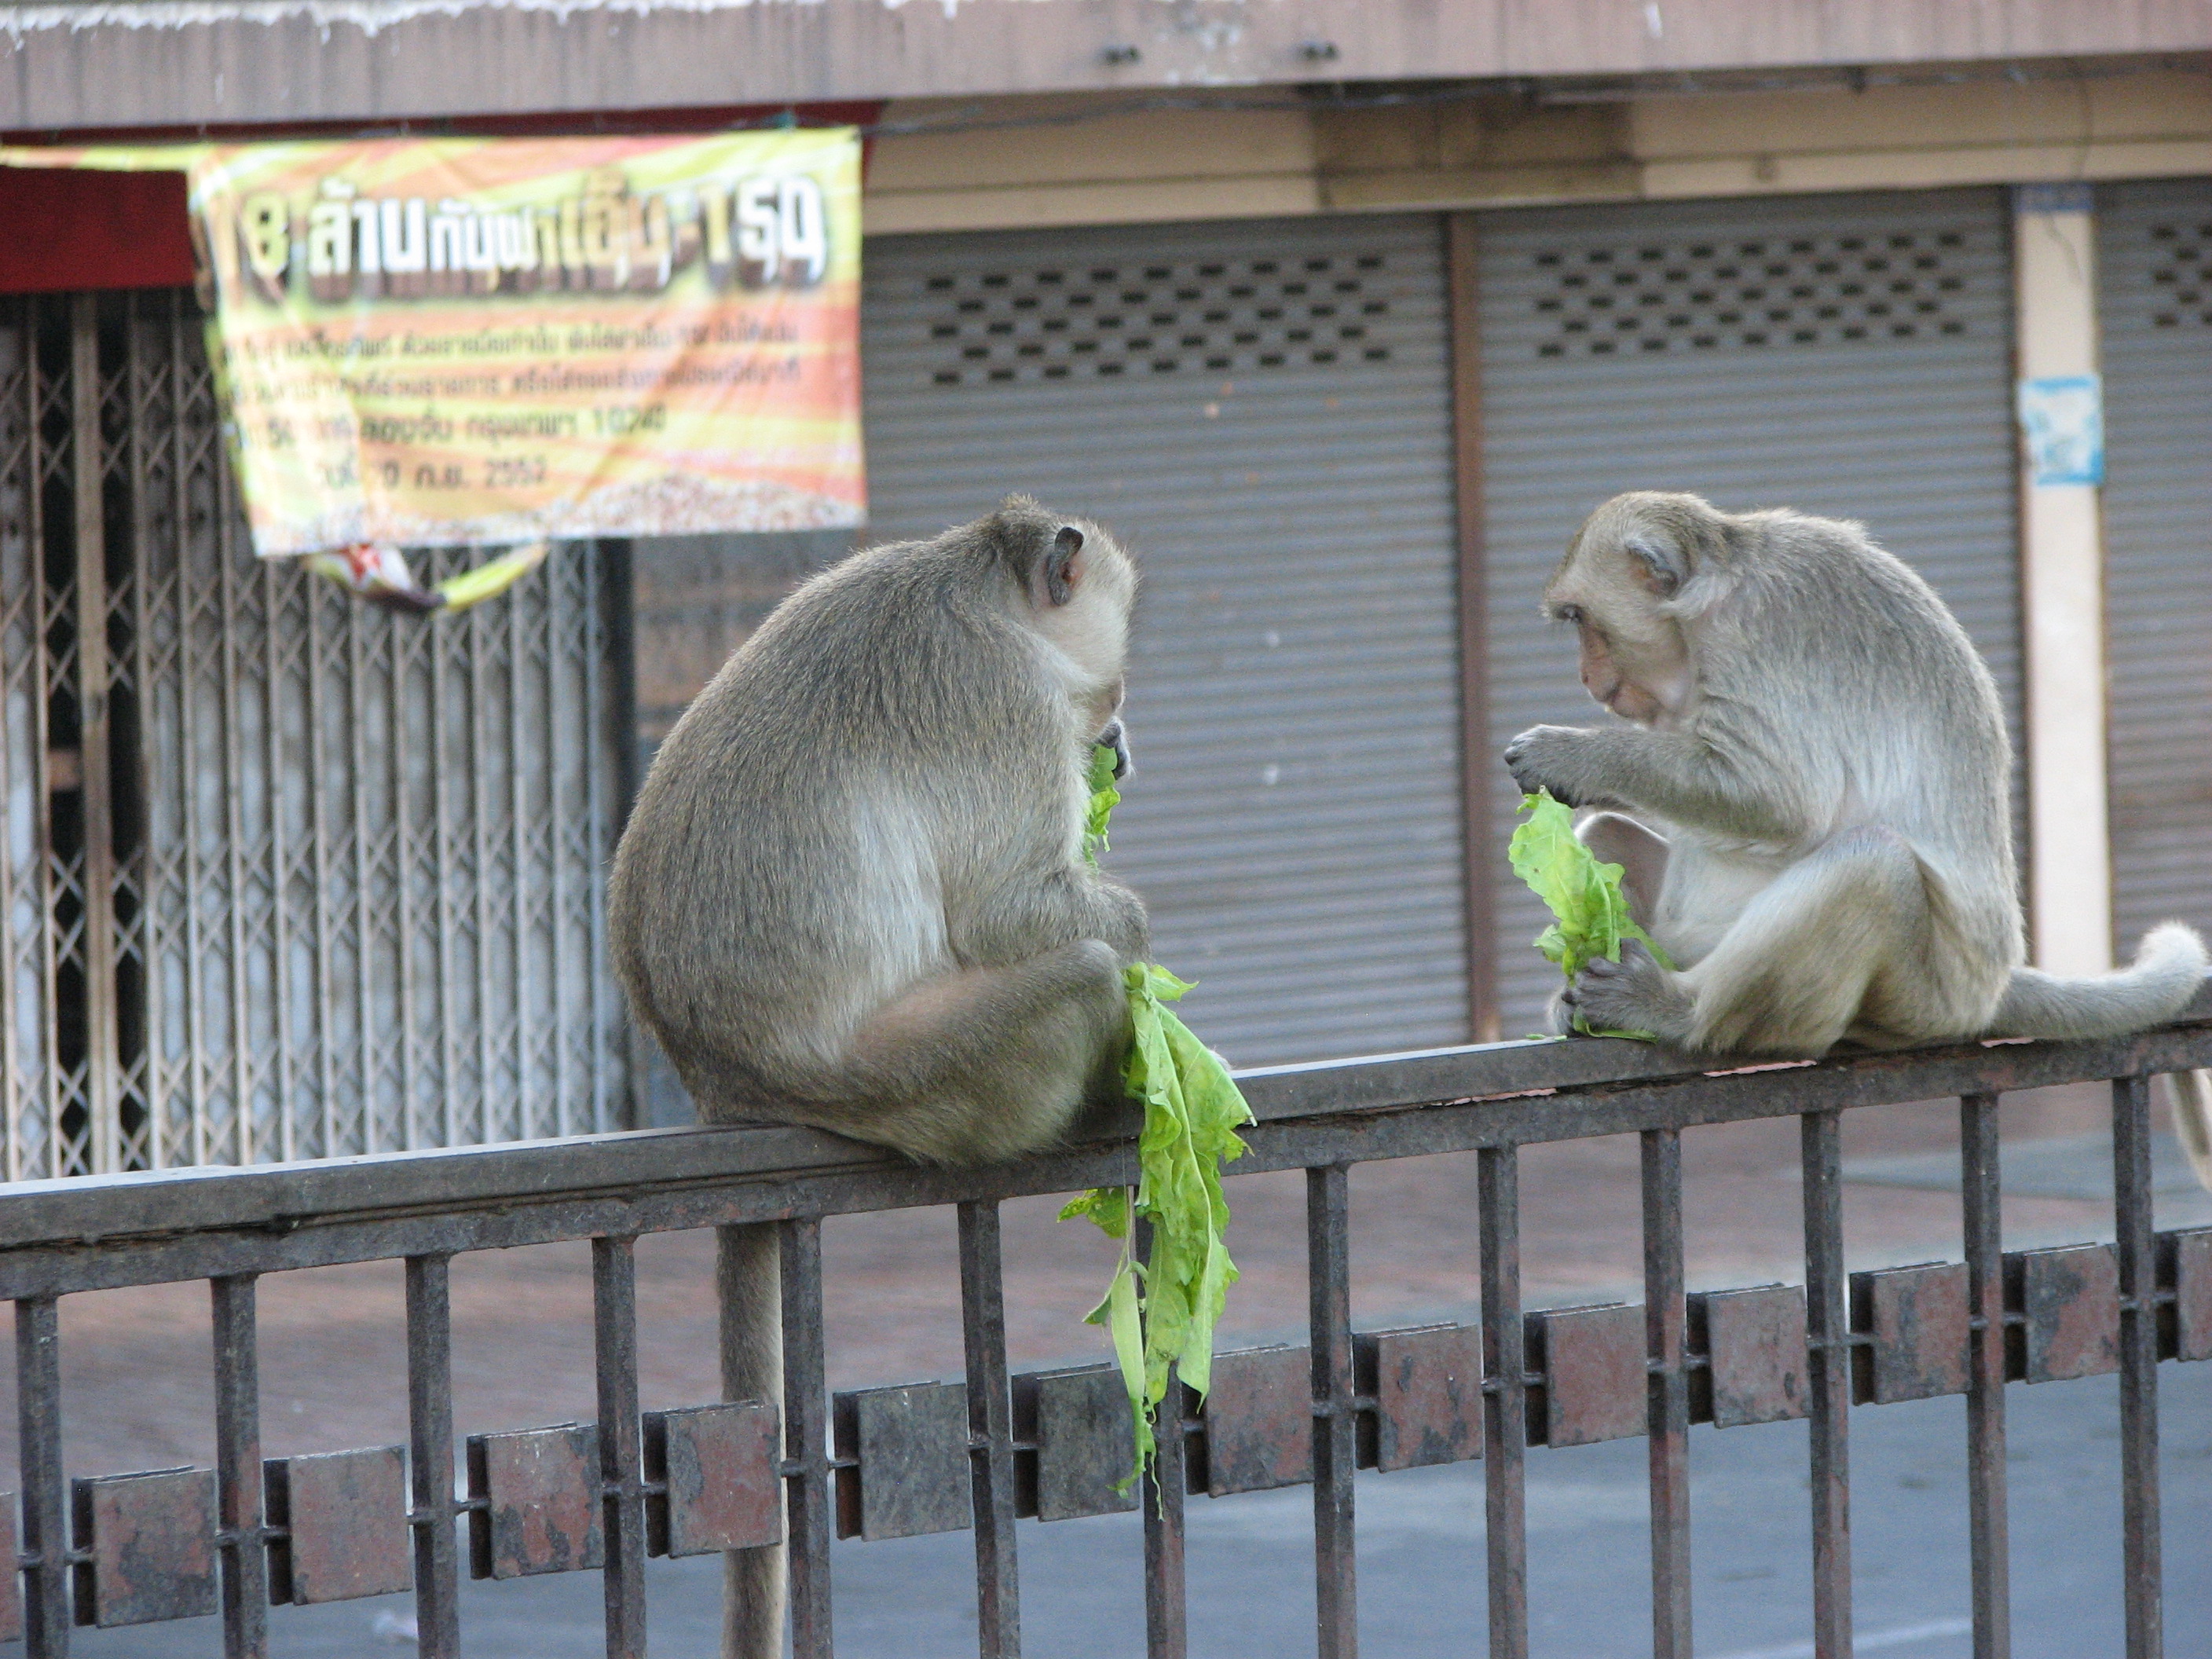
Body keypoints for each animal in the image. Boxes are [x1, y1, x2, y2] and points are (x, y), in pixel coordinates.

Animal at [607, 497, 1149, 1659]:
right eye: (1110, 684)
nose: (1121, 740)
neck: (981, 582)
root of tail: (726, 1087)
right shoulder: (1002, 701)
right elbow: (1008, 910)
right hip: (907, 1076)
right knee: (1074, 979)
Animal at [1503, 490, 2208, 1061]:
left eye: (1579, 618)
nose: (1586, 678)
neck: (1715, 591)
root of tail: (1991, 987)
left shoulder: (1755, 634)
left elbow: (1783, 801)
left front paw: (1570, 757)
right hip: (1692, 943)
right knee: (1607, 841)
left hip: (1923, 995)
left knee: (1870, 865)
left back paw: (1677, 1012)